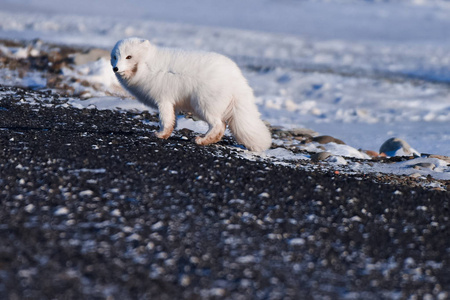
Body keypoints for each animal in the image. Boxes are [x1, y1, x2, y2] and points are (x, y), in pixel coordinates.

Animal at [110, 37, 270, 151]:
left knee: (218, 125)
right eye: (115, 57)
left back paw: (201, 140)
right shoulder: (172, 103)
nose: (115, 68)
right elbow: (172, 121)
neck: (147, 66)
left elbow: (165, 120)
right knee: (221, 127)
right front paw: (167, 134)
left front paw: (160, 135)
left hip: (203, 105)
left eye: (129, 57)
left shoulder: (163, 100)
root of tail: (238, 81)